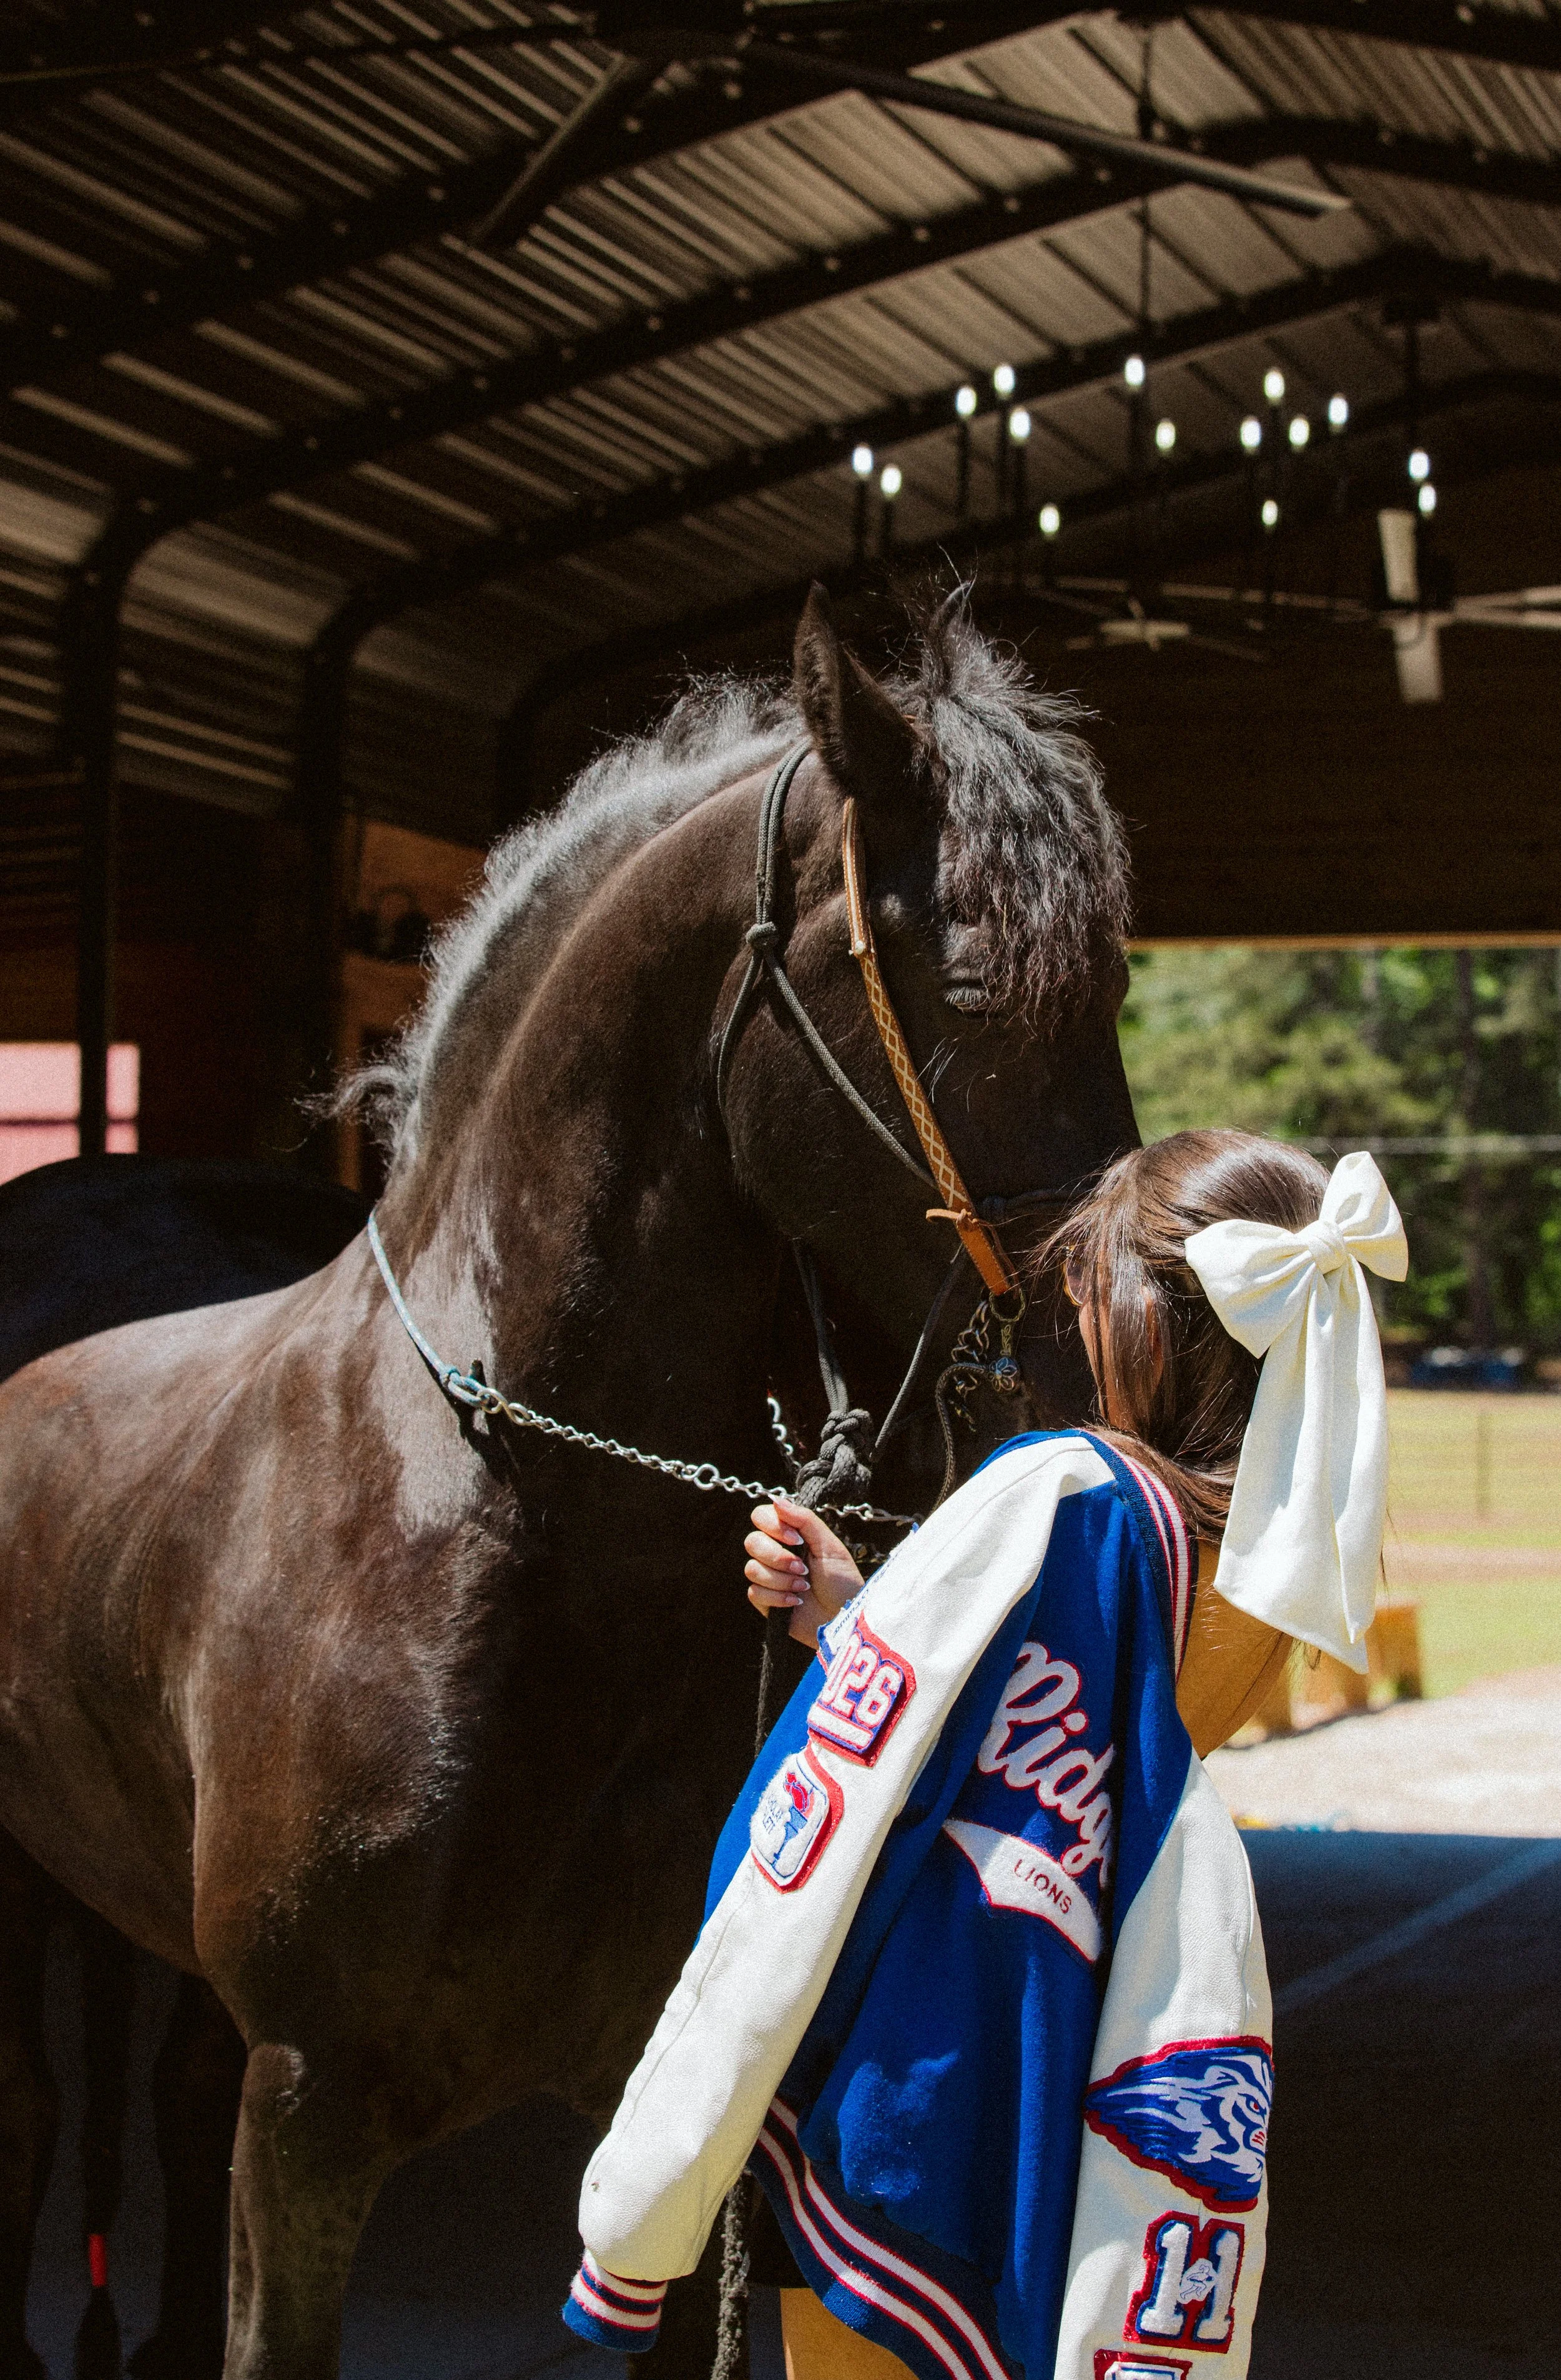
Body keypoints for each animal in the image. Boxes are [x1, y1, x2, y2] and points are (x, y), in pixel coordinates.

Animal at [0, 588, 1139, 2378]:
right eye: (969, 986)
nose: (1103, 1353)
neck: (508, 1520)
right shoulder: (309, 2116)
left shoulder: (658, 2111)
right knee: (38, 2116)